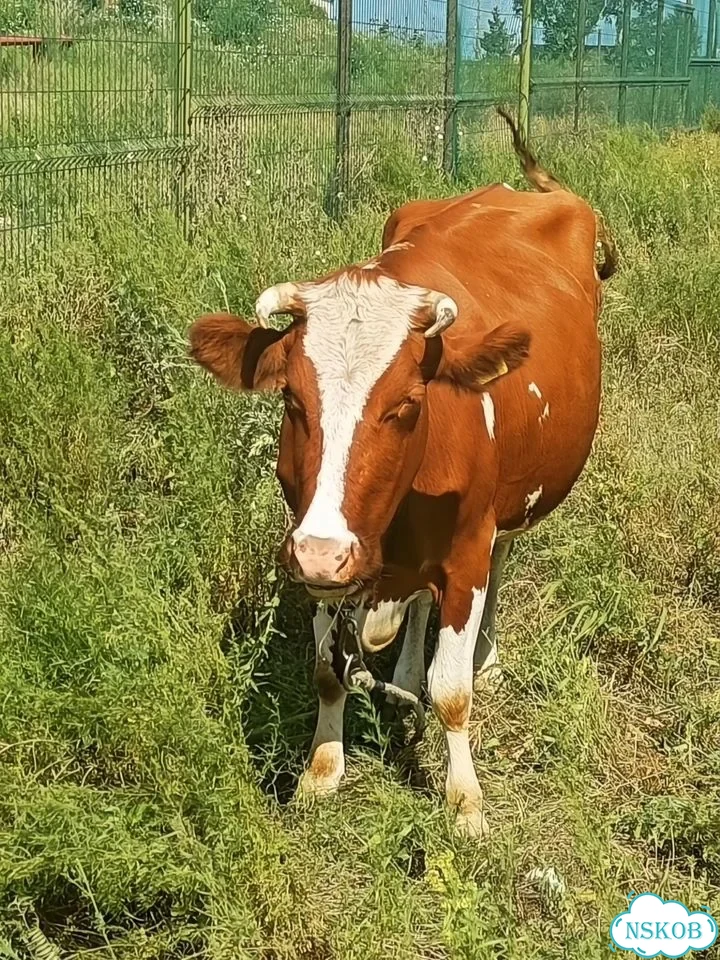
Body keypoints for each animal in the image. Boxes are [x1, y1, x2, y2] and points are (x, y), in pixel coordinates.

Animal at [189, 110, 617, 838]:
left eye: (408, 404)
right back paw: (408, 663)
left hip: (513, 509)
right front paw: (321, 770)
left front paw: (464, 800)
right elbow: (329, 671)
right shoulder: (323, 550)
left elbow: (452, 693)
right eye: (292, 399)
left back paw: (487, 653)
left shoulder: (464, 548)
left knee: (502, 561)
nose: (324, 552)